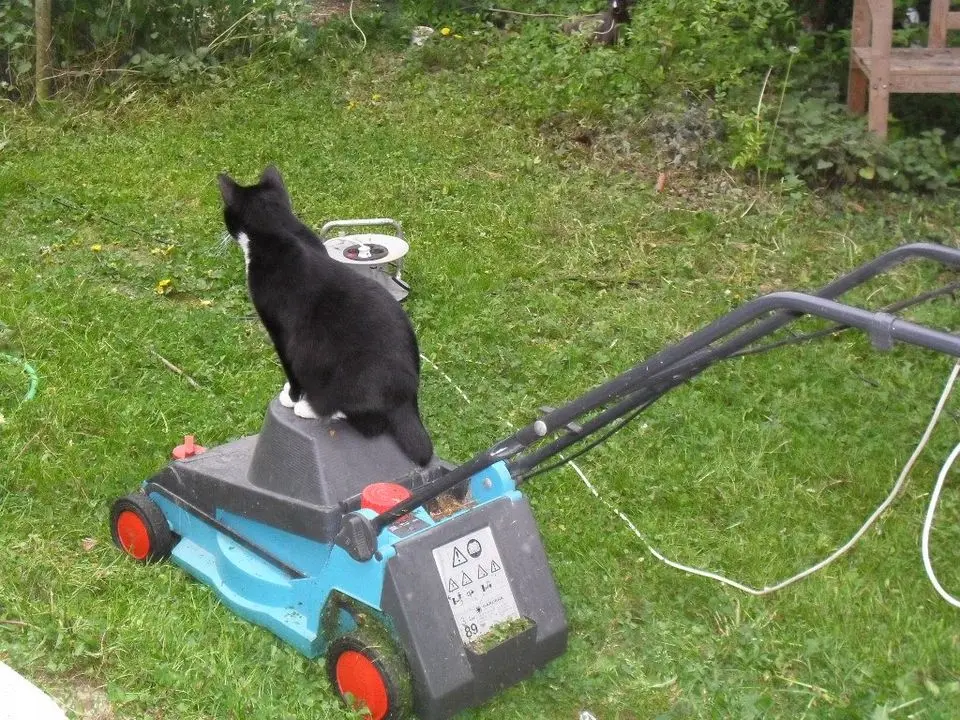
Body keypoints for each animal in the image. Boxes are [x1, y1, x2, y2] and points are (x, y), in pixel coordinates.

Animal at [217, 165, 434, 467]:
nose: (224, 231)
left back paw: (315, 408)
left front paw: (292, 397)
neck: (278, 231)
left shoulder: (281, 332)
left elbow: (290, 369)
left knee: (371, 426)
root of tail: (407, 400)